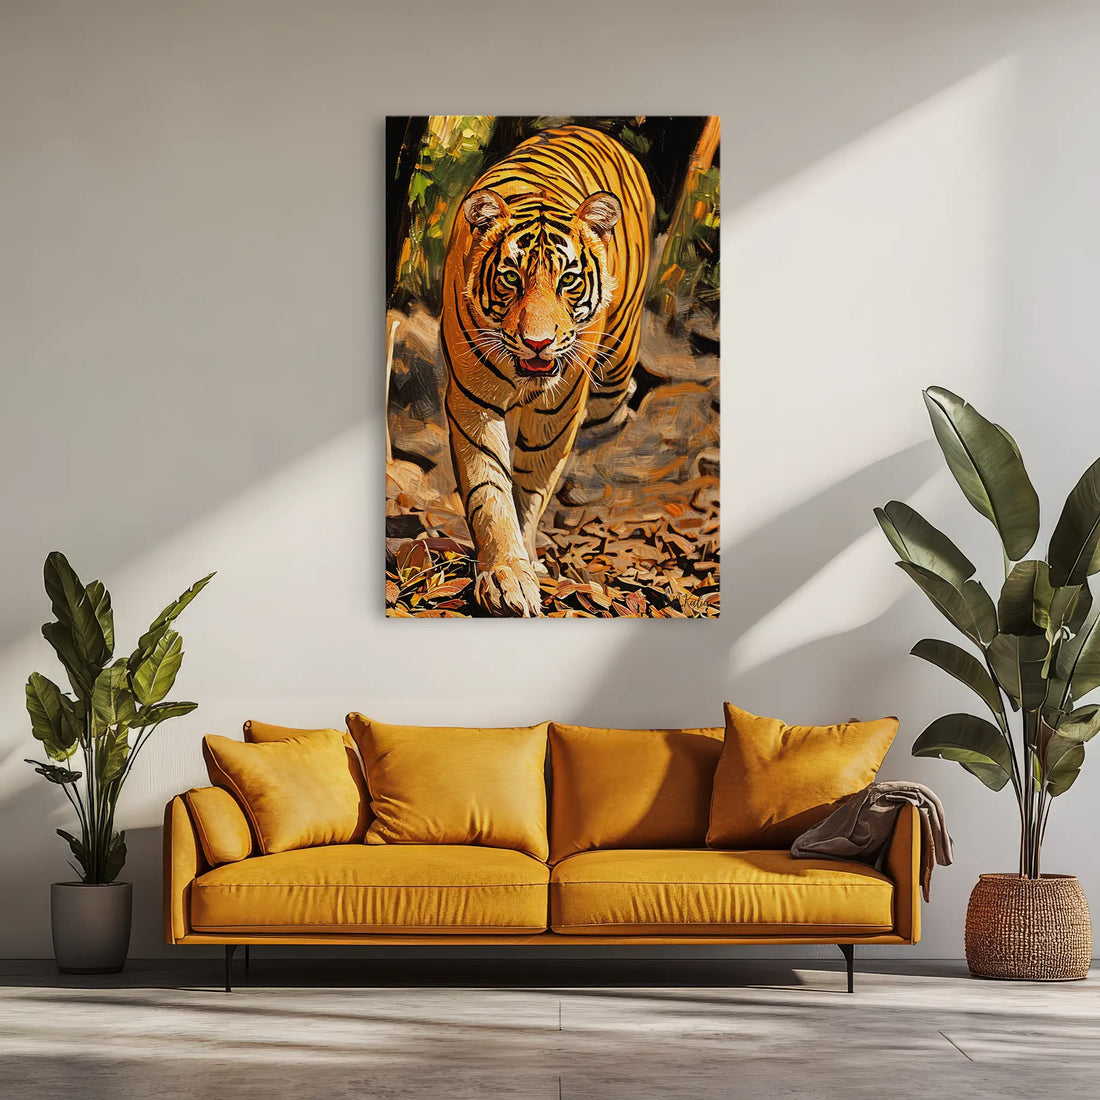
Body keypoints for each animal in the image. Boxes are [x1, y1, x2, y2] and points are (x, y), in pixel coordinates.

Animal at [440, 125, 655, 617]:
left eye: (568, 280)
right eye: (511, 279)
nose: (537, 342)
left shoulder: (558, 409)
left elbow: (531, 486)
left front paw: (525, 559)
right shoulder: (472, 402)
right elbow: (489, 489)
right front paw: (506, 575)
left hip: (616, 366)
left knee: (615, 407)